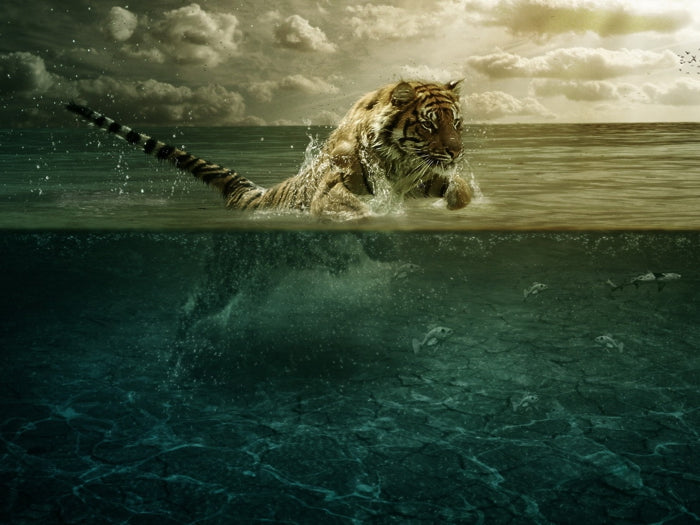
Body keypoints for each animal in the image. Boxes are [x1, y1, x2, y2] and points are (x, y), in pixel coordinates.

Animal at [66, 80, 472, 220]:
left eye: (456, 123)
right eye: (428, 124)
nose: (456, 153)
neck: (399, 164)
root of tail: (250, 194)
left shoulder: (422, 178)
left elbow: (459, 190)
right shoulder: (333, 187)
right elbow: (353, 208)